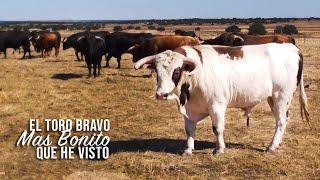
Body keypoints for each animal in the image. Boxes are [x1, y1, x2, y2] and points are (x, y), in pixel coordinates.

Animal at [135, 43, 310, 155]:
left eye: (176, 71)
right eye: (157, 71)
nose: (161, 94)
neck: (195, 76)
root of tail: (292, 48)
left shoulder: (217, 105)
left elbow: (217, 128)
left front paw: (219, 149)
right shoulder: (190, 109)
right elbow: (189, 130)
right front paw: (188, 149)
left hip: (282, 95)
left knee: (280, 121)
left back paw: (272, 146)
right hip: (273, 98)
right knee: (283, 120)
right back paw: (277, 143)